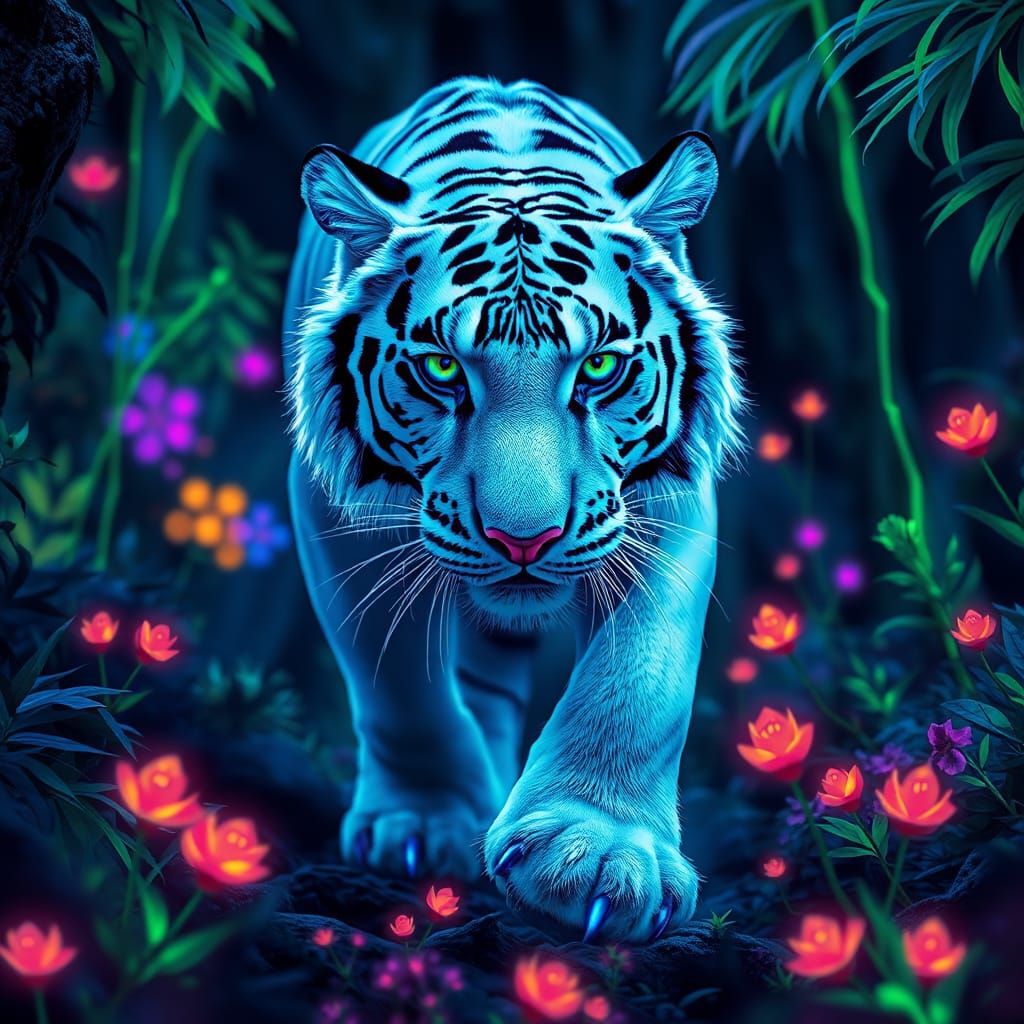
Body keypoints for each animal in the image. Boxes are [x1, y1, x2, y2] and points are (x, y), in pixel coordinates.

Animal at [285, 77, 742, 944]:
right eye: (440, 369)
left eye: (598, 368)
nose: (522, 539)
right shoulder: (337, 515)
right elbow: (398, 680)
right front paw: (424, 823)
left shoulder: (670, 502)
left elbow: (643, 671)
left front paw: (595, 853)